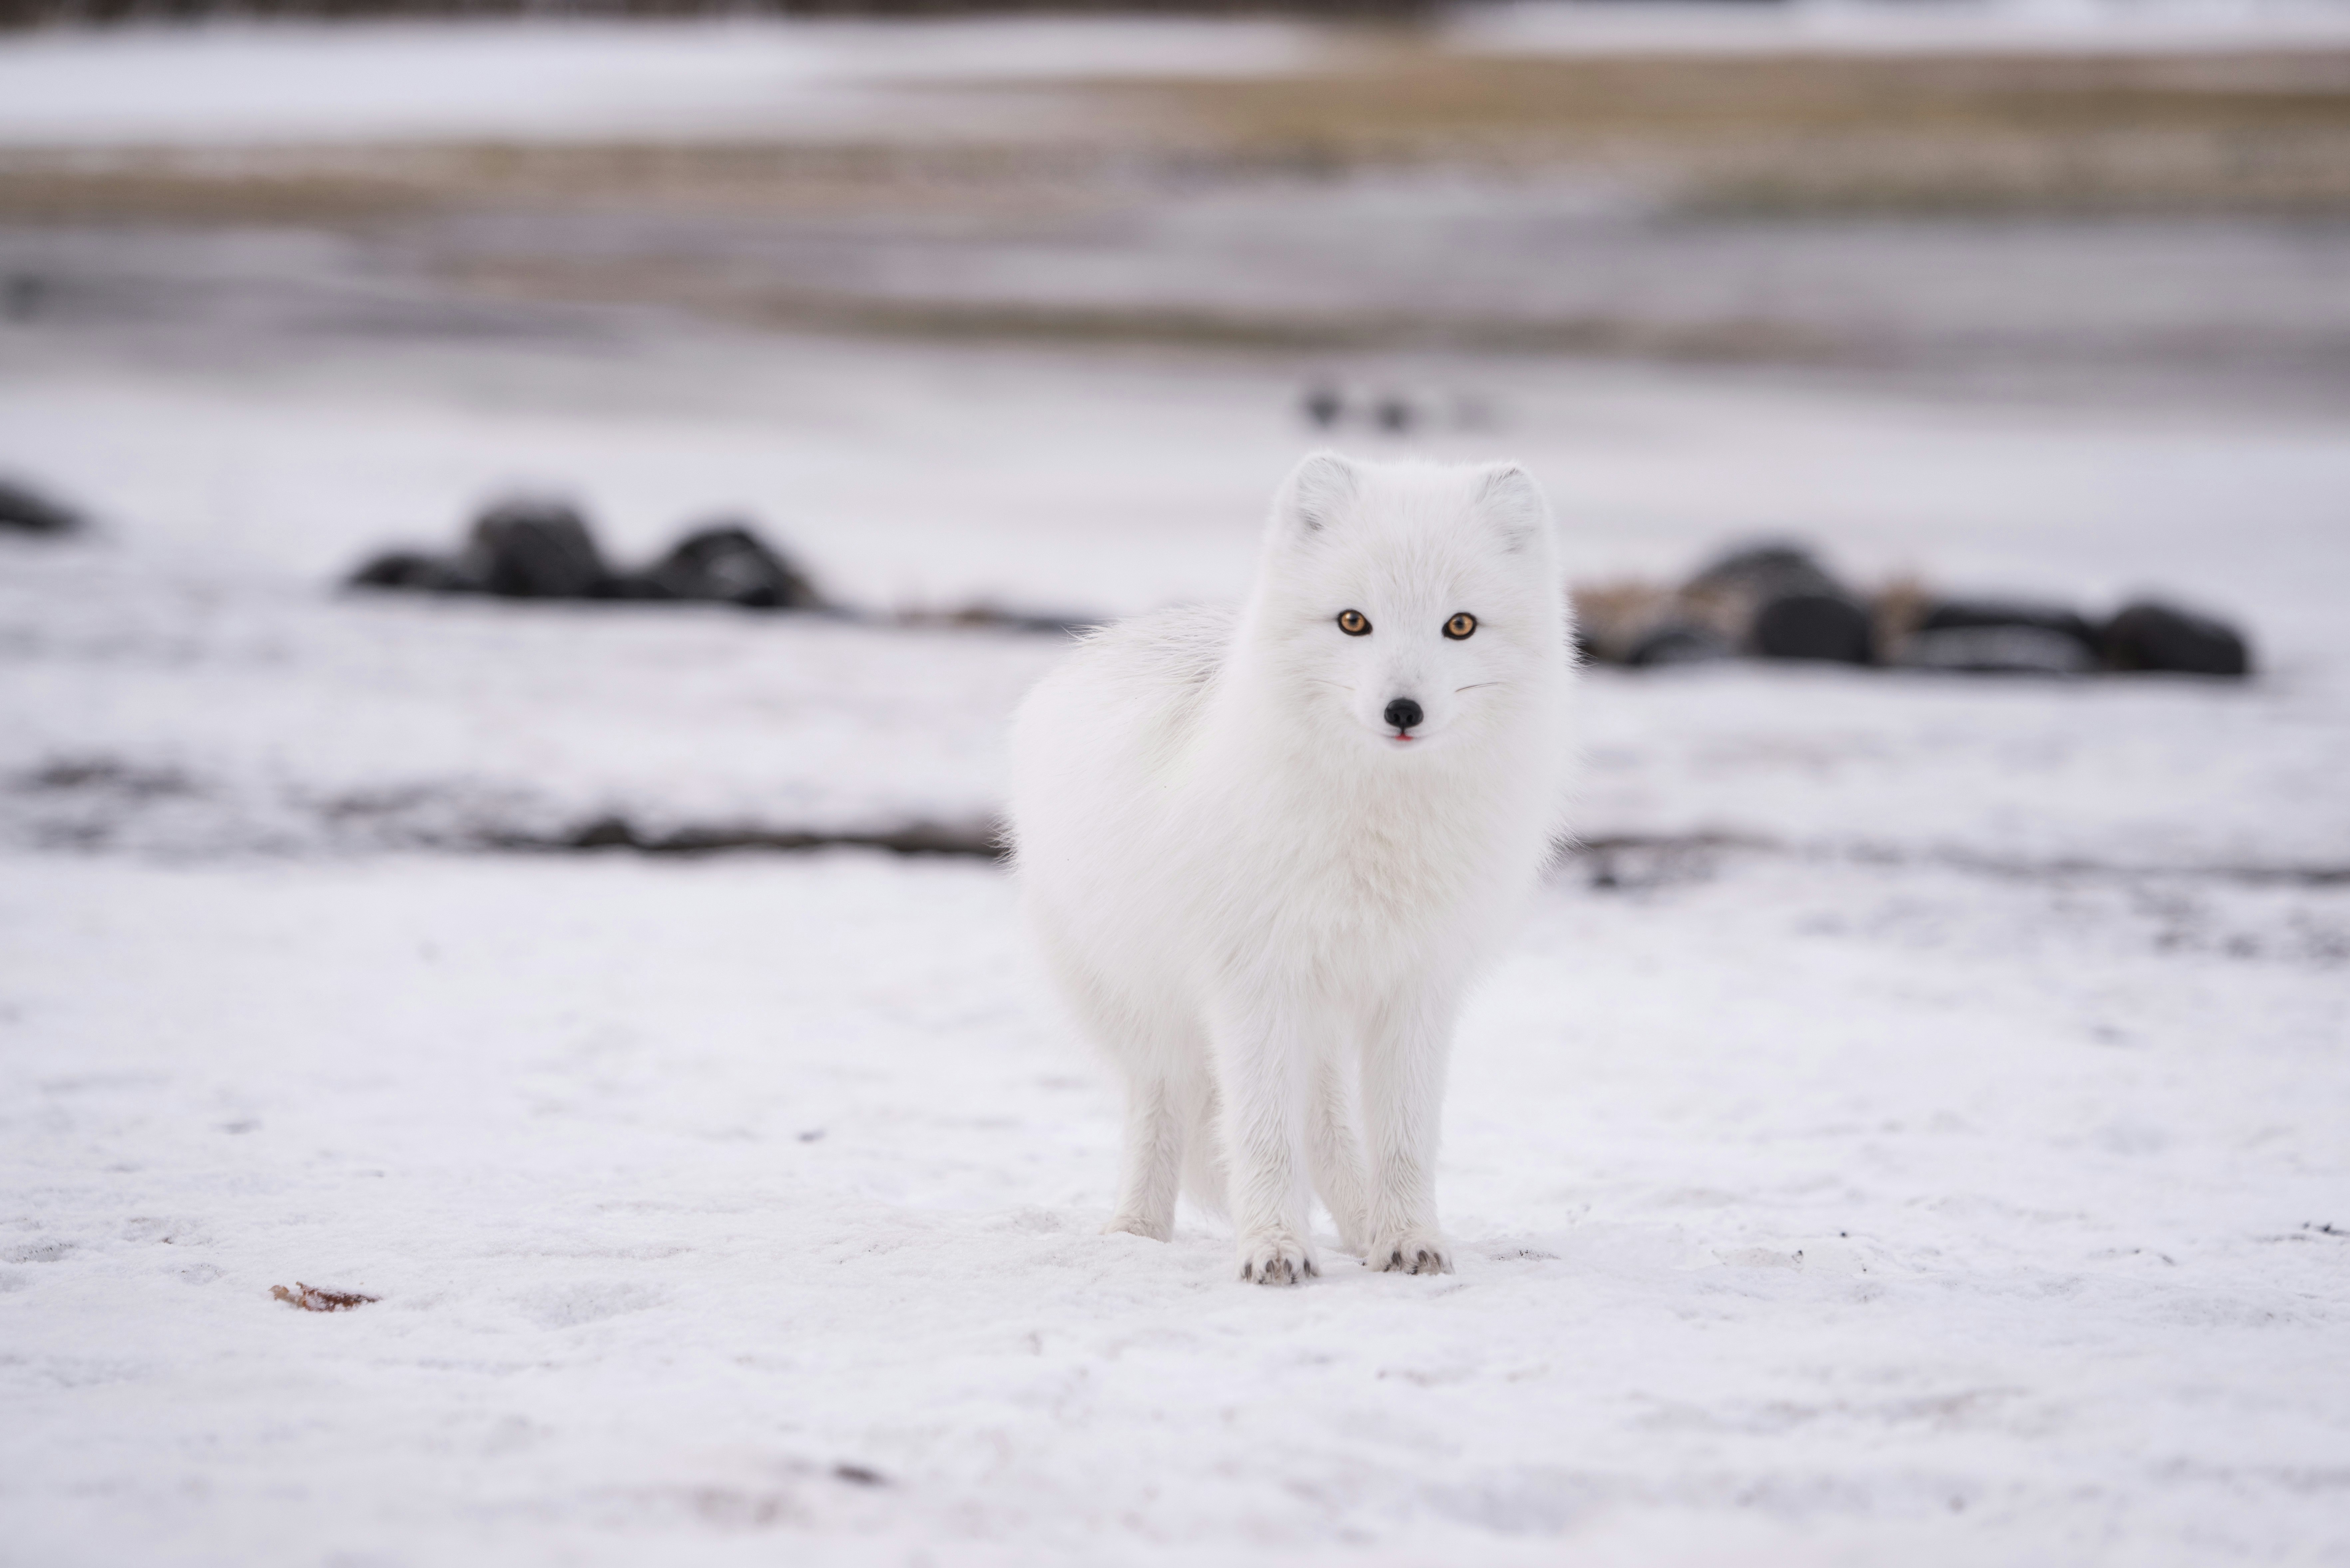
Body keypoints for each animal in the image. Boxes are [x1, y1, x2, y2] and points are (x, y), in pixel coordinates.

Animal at [1001, 454, 1570, 1288]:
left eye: (1459, 624)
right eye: (1353, 621)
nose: (1403, 710)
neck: (1376, 828)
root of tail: (1110, 638)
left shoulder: (1417, 989)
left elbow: (1403, 1138)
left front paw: (1409, 1240)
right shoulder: (1252, 985)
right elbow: (1263, 1136)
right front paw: (1271, 1249)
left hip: (1320, 1026)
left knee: (1330, 1134)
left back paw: (1363, 1231)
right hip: (1146, 1012)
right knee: (1161, 1109)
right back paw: (1137, 1232)